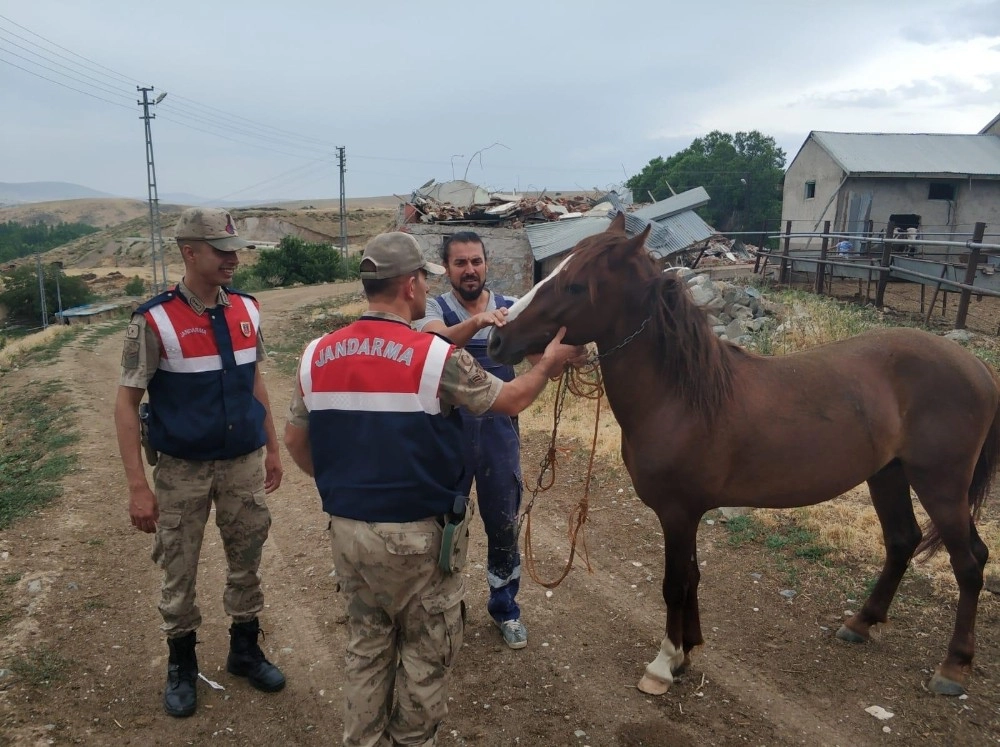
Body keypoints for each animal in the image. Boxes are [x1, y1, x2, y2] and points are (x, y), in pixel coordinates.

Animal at [486, 213, 1000, 700]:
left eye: (575, 285)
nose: (495, 339)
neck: (681, 396)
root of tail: (976, 366)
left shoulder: (678, 512)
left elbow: (675, 583)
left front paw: (663, 665)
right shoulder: (688, 513)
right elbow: (692, 577)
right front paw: (687, 652)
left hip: (940, 484)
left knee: (970, 561)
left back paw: (953, 667)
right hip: (888, 474)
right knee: (901, 541)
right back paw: (860, 623)